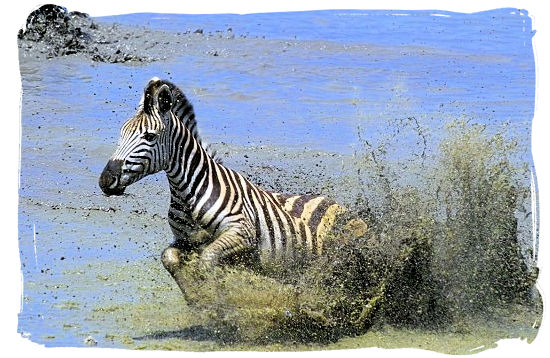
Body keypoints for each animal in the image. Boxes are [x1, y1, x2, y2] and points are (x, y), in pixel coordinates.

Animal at [99, 77, 368, 296]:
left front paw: (217, 302)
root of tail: (341, 207)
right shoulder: (187, 241)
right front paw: (196, 300)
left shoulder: (241, 232)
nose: (105, 180)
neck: (188, 190)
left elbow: (208, 260)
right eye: (121, 134)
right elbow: (169, 257)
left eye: (150, 137)